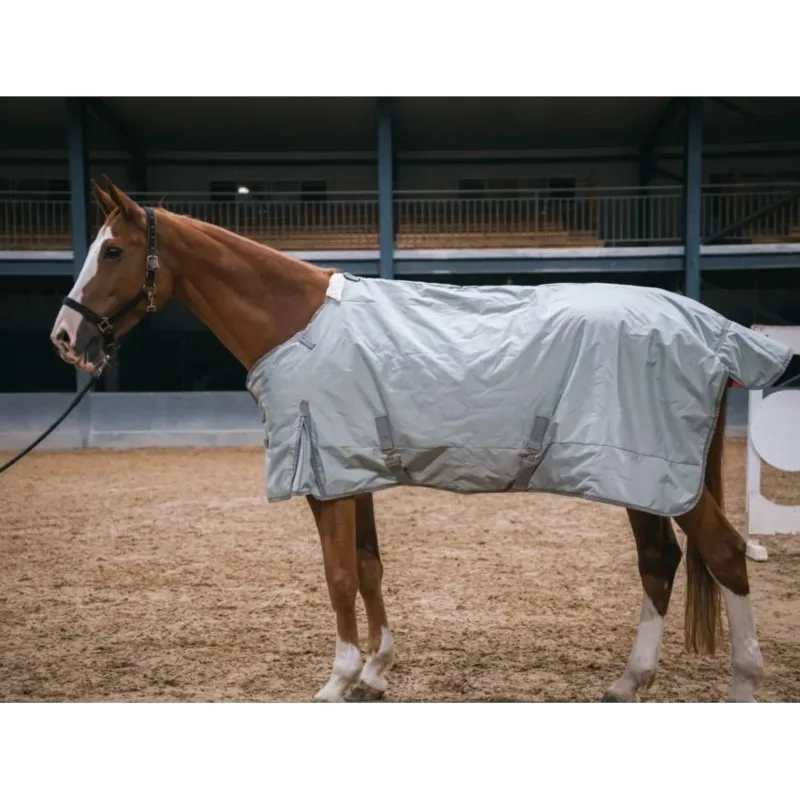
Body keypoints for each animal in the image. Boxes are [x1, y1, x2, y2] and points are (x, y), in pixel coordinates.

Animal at [49, 177, 789, 702]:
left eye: (112, 251)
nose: (65, 336)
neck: (297, 322)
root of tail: (710, 328)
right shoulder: (354, 472)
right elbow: (370, 567)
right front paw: (376, 672)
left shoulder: (325, 478)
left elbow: (339, 575)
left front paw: (339, 678)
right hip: (642, 479)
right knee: (660, 562)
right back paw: (628, 682)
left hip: (662, 476)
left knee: (725, 553)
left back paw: (742, 684)